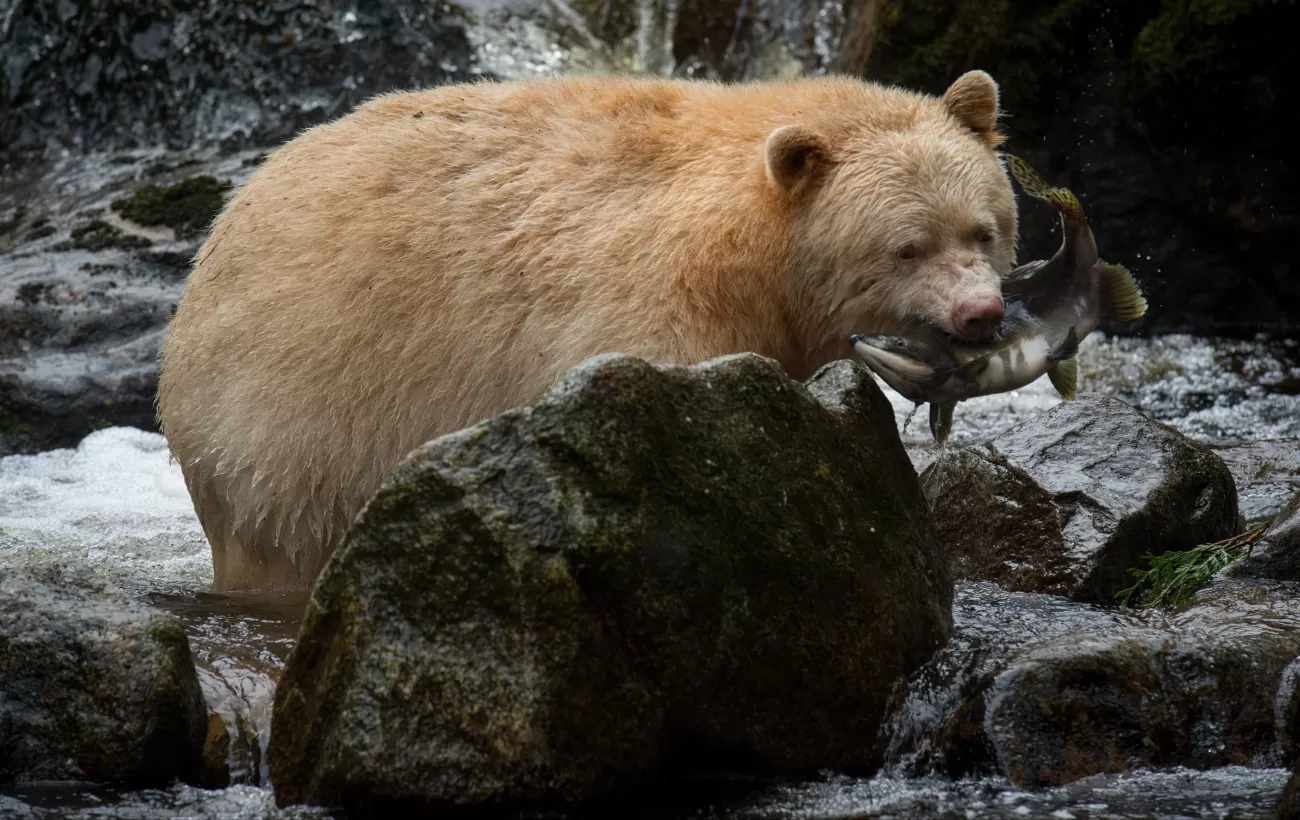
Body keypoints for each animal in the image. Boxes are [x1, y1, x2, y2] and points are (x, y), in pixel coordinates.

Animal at [157, 72, 1019, 597]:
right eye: (906, 248)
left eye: (983, 228)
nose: (982, 313)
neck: (748, 254)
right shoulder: (648, 304)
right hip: (289, 431)